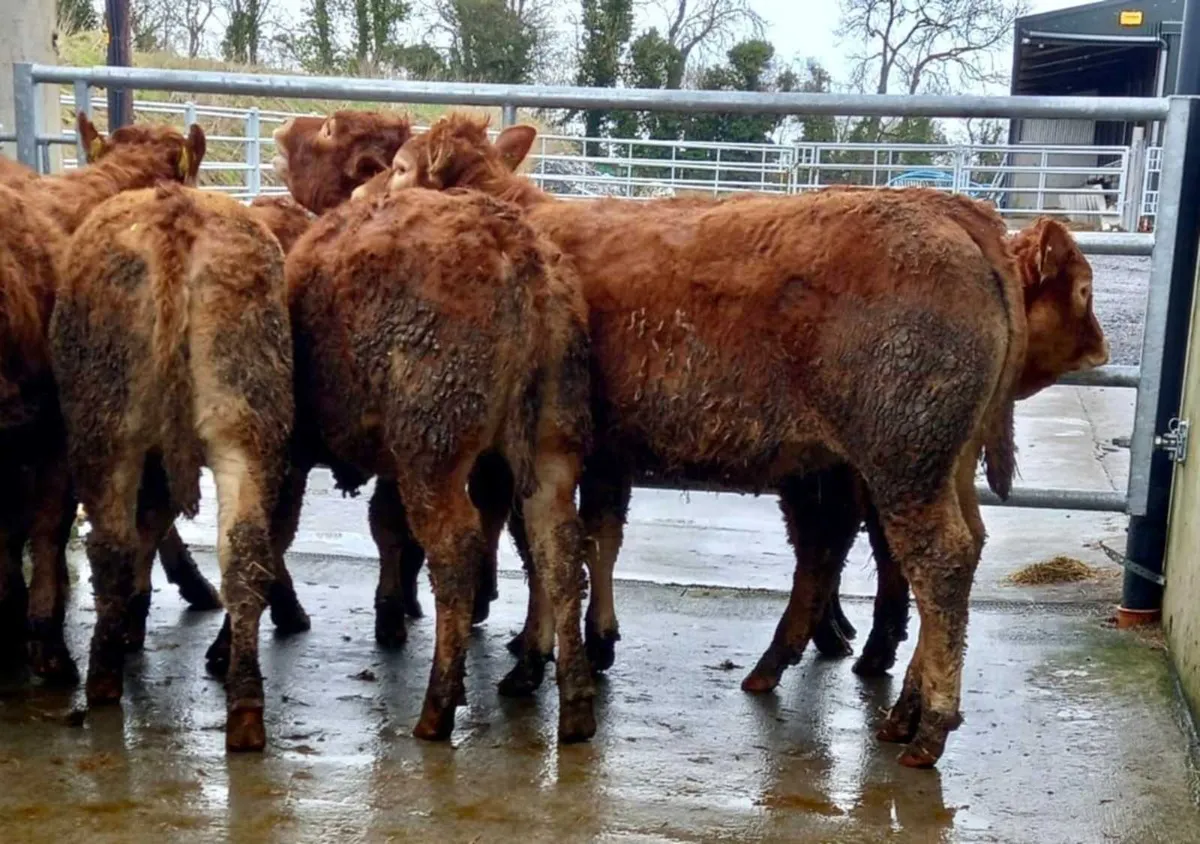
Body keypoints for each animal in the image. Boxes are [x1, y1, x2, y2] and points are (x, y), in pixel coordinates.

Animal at [51, 181, 295, 749]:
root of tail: (175, 211)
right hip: (245, 427)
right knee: (244, 553)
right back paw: (245, 708)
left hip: (106, 432)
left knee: (112, 547)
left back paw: (102, 680)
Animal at [282, 181, 600, 744]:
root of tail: (519, 254)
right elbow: (386, 526)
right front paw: (389, 614)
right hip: (551, 449)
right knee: (558, 549)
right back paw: (575, 705)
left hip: (433, 457)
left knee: (455, 552)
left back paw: (438, 707)